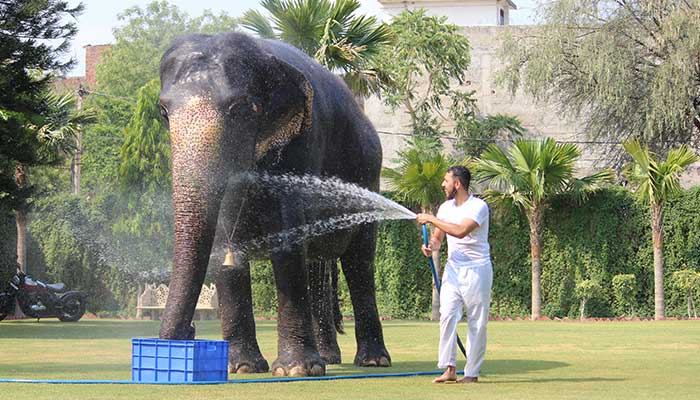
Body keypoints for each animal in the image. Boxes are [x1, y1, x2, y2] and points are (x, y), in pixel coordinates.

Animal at [155, 32, 392, 378]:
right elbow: (225, 243)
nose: (190, 332)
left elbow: (287, 238)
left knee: (359, 262)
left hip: (368, 175)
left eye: (240, 108)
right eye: (163, 112)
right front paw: (241, 367)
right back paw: (330, 358)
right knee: (318, 265)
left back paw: (373, 361)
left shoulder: (302, 143)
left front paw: (296, 370)